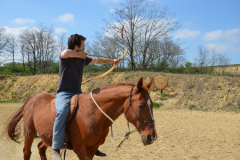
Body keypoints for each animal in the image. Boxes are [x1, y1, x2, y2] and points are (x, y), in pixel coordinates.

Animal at [4, 77, 158, 159]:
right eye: (141, 105)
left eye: (152, 105)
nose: (151, 136)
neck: (94, 113)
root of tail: (33, 97)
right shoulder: (81, 150)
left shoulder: (91, 149)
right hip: (30, 131)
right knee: (27, 151)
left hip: (47, 135)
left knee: (41, 148)